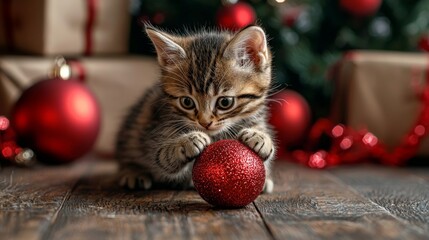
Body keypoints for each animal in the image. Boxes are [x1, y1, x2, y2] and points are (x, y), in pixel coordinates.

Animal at [114, 24, 274, 193]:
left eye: (225, 102)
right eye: (187, 102)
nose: (205, 123)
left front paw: (261, 138)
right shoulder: (157, 129)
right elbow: (161, 157)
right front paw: (187, 142)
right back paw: (133, 173)